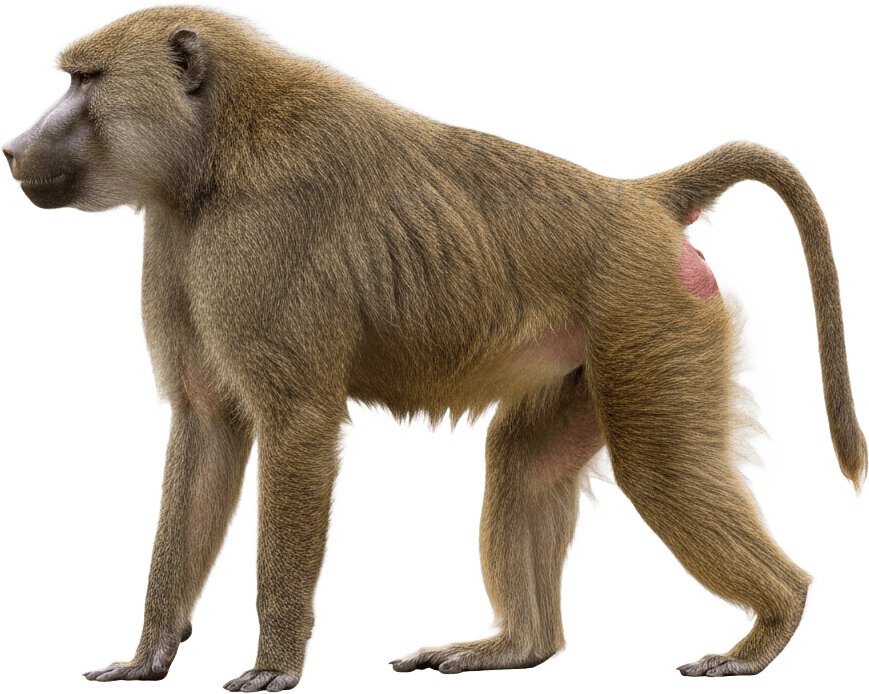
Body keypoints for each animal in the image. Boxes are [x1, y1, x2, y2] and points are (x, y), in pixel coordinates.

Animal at [3, 2, 865, 691]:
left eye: (85, 82)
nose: (13, 149)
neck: (213, 153)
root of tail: (637, 198)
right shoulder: (178, 245)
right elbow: (206, 429)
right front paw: (147, 657)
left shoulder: (256, 244)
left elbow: (295, 427)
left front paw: (273, 667)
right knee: (528, 466)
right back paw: (512, 647)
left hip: (647, 314)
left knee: (663, 467)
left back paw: (765, 630)